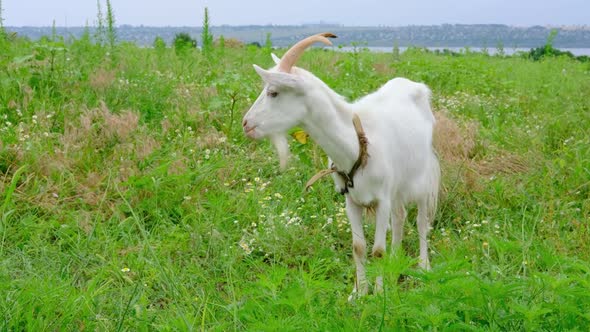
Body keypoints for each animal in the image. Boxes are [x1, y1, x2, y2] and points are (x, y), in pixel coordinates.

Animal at [243, 33, 442, 298]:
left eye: (273, 92)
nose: (246, 124)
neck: (357, 144)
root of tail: (416, 86)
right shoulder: (351, 201)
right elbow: (358, 247)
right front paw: (358, 293)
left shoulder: (382, 200)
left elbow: (378, 250)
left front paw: (379, 294)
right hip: (398, 187)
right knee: (400, 217)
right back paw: (395, 264)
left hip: (420, 178)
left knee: (420, 220)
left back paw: (423, 266)